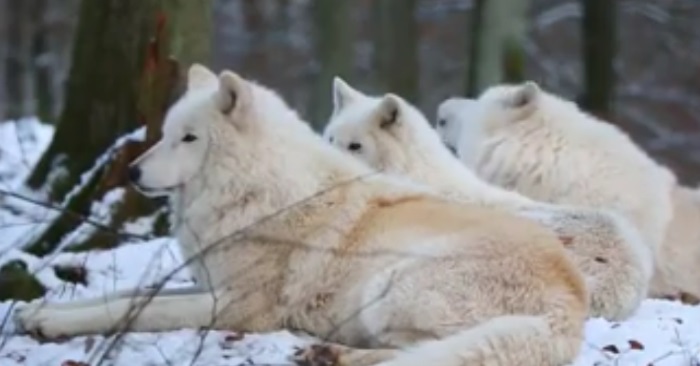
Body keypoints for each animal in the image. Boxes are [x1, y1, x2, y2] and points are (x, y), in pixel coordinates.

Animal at [13, 66, 588, 366]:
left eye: (189, 138)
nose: (130, 173)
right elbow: (124, 296)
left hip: (390, 285)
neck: (259, 192)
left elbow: (131, 310)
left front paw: (49, 322)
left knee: (425, 355)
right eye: (166, 134)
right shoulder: (208, 284)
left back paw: (333, 353)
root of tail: (572, 303)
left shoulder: (233, 307)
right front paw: (39, 311)